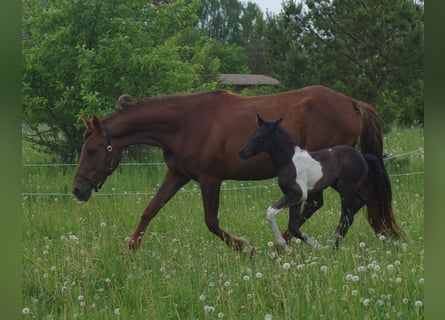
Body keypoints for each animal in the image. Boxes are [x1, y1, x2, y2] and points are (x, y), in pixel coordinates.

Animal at [72, 85, 398, 250]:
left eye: (92, 150)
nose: (77, 190)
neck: (185, 124)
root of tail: (351, 102)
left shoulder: (210, 178)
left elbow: (211, 221)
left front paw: (243, 246)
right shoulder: (177, 175)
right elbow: (150, 210)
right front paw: (131, 247)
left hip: (324, 173)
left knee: (323, 204)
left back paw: (280, 245)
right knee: (366, 200)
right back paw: (387, 235)